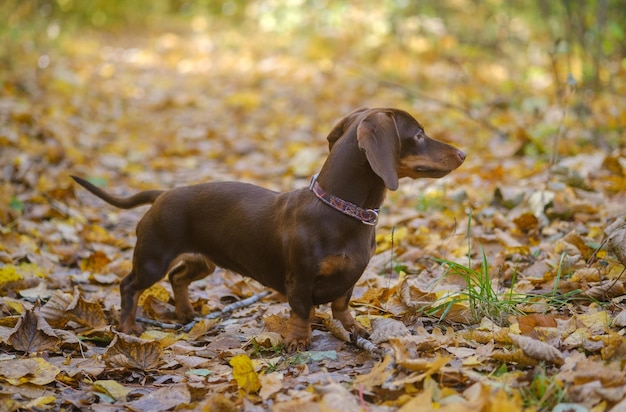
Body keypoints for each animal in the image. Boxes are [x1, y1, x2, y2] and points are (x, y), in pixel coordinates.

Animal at [73, 107, 464, 350]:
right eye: (419, 135)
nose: (463, 153)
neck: (341, 210)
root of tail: (163, 194)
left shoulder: (349, 280)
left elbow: (341, 306)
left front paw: (353, 328)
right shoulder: (300, 279)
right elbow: (302, 311)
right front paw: (298, 340)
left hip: (204, 261)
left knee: (178, 277)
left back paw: (186, 314)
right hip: (153, 257)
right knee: (129, 286)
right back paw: (128, 328)